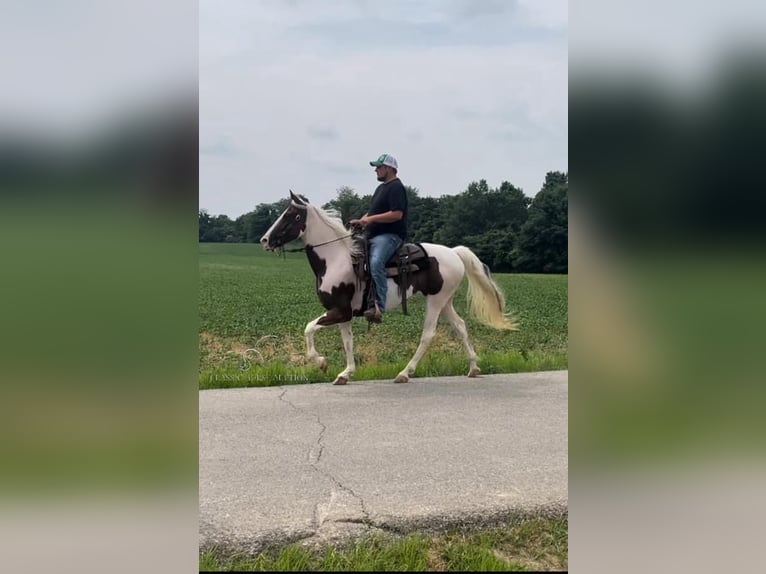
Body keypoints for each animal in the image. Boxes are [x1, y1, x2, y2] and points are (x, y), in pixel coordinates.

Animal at [260, 190, 520, 388]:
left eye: (291, 215)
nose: (264, 240)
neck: (335, 259)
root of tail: (454, 253)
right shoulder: (344, 314)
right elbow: (347, 342)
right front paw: (345, 374)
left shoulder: (339, 311)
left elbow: (308, 329)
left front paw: (322, 362)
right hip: (445, 301)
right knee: (461, 326)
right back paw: (474, 367)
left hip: (435, 301)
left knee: (428, 334)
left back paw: (405, 372)